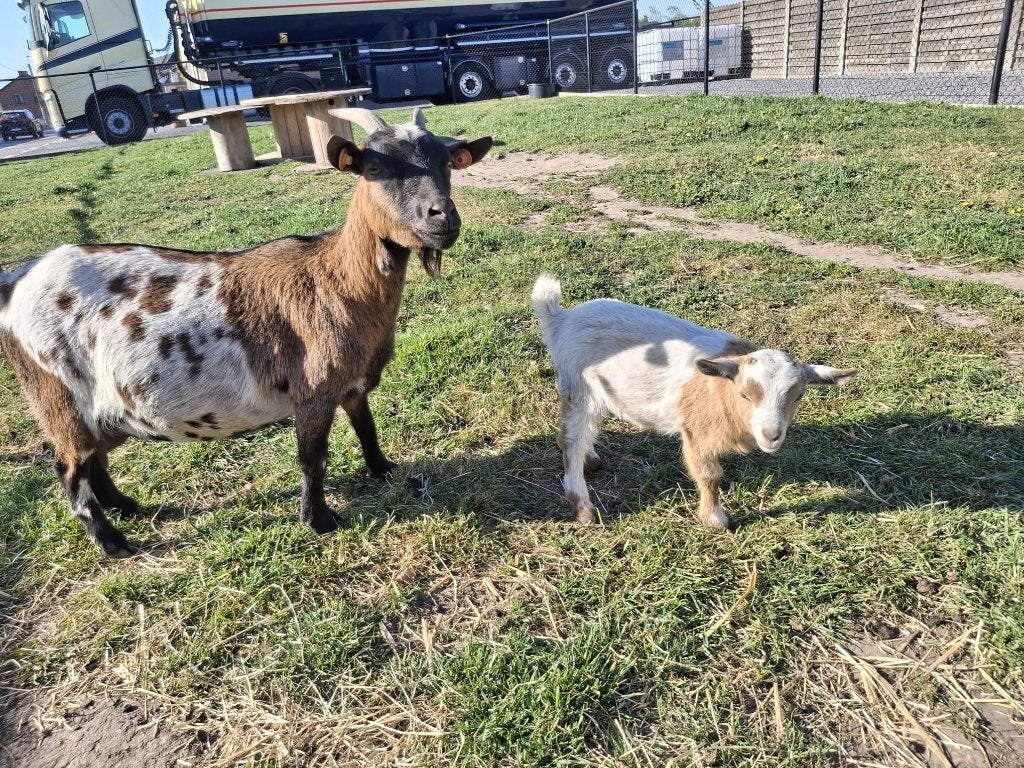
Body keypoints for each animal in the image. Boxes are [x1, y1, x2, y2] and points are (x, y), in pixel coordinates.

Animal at [0, 108, 492, 557]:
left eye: (447, 163)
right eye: (374, 168)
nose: (442, 216)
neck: (333, 279)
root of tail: (18, 282)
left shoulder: (351, 385)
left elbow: (366, 429)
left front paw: (383, 469)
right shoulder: (313, 392)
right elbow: (313, 458)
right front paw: (319, 520)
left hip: (101, 408)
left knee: (94, 460)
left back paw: (128, 507)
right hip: (57, 395)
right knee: (70, 467)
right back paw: (113, 543)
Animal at [531, 274, 857, 528]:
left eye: (798, 395)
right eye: (744, 394)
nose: (771, 435)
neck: (722, 390)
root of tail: (562, 318)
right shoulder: (696, 430)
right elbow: (710, 476)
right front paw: (715, 520)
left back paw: (592, 460)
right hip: (579, 387)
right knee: (572, 441)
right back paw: (584, 508)